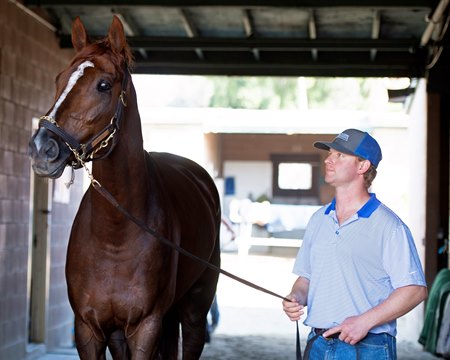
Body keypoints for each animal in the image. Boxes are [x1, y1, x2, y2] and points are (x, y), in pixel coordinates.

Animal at [27, 15, 221, 358]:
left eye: (104, 85)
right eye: (59, 79)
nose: (42, 148)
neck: (115, 234)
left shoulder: (146, 327)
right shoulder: (88, 329)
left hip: (195, 310)